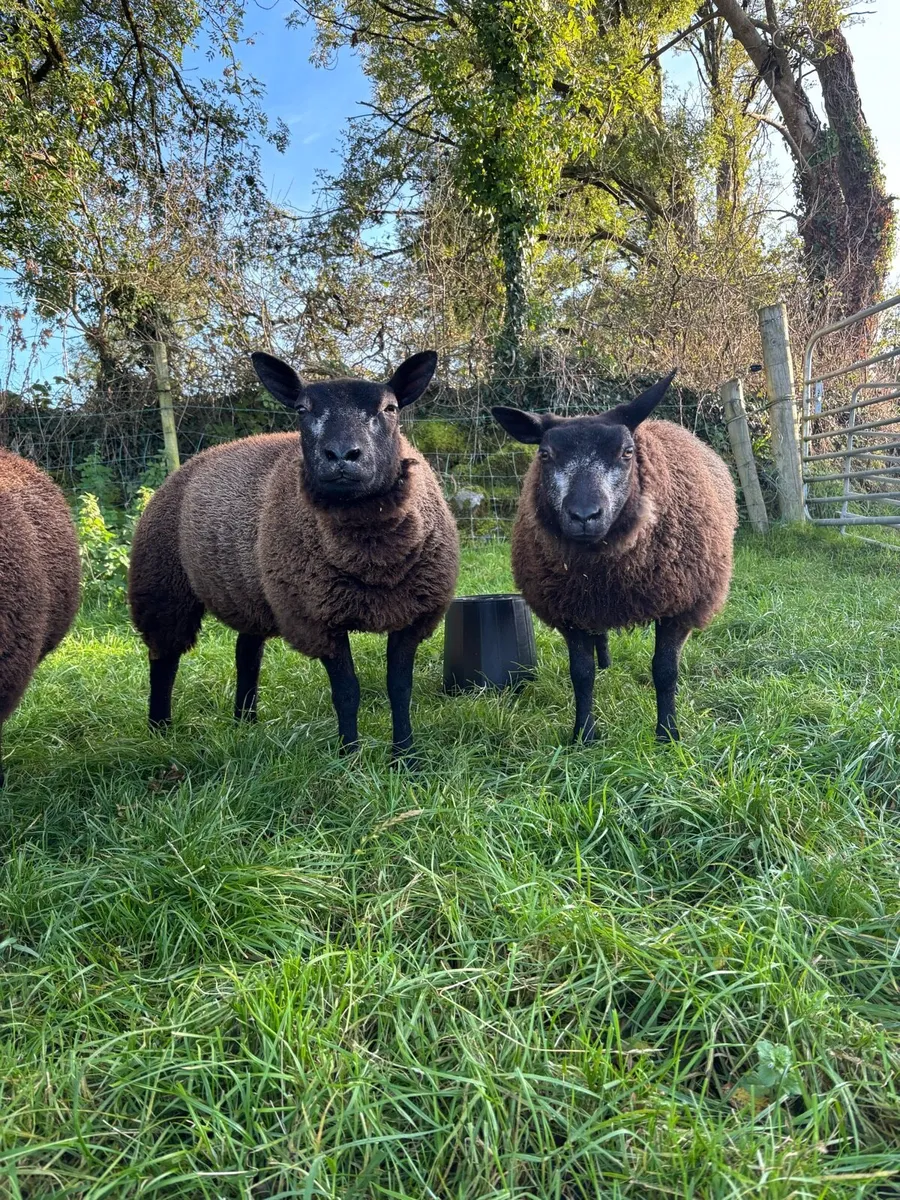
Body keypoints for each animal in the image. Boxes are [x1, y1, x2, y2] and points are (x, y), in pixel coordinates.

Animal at [128, 351, 460, 761]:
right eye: (302, 409)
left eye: (391, 407)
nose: (341, 456)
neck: (372, 562)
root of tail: (192, 461)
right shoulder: (316, 617)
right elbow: (347, 692)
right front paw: (350, 757)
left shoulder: (412, 616)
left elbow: (400, 688)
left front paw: (405, 757)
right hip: (162, 584)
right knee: (164, 658)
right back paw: (160, 729)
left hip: (251, 592)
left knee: (246, 654)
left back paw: (245, 722)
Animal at [491, 372, 737, 743]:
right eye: (545, 454)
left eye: (627, 452)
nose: (584, 515)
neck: (609, 573)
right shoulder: (570, 610)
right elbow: (581, 673)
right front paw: (584, 735)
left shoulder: (680, 606)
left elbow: (665, 671)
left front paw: (668, 734)